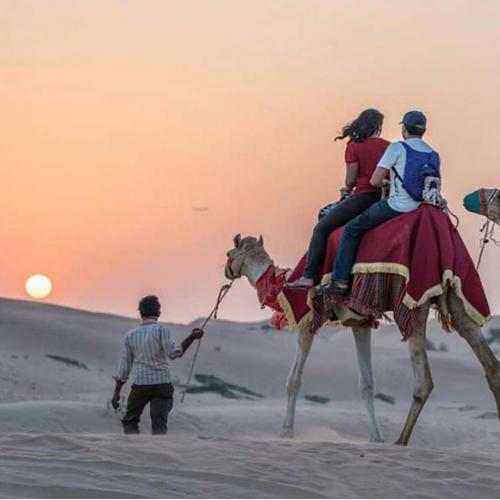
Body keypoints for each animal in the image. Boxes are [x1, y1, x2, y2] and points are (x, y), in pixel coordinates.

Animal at [225, 231, 500, 446]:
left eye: (229, 252)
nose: (227, 270)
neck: (282, 286)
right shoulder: (360, 322)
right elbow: (367, 383)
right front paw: (375, 437)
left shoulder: (307, 319)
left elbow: (294, 379)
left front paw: (286, 433)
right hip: (455, 299)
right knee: (489, 364)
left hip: (413, 303)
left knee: (425, 381)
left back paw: (401, 440)